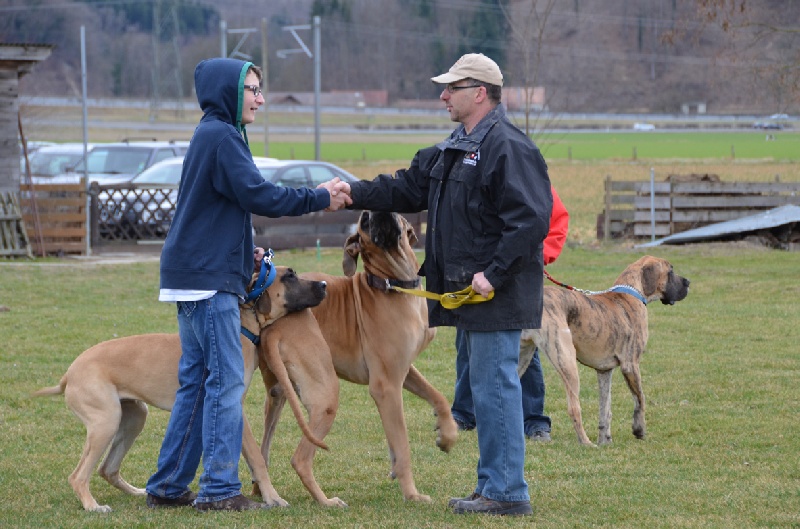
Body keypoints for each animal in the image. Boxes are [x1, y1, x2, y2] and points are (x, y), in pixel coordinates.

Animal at [31, 266, 324, 510]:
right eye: (289, 276)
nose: (322, 284)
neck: (241, 327)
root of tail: (69, 374)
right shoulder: (232, 408)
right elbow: (257, 459)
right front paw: (272, 498)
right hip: (106, 422)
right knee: (78, 475)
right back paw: (93, 506)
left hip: (133, 417)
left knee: (107, 469)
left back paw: (139, 492)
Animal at [298, 208, 460, 502]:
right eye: (364, 221)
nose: (377, 211)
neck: (394, 284)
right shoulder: (387, 386)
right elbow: (403, 444)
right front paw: (412, 493)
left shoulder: (404, 369)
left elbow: (438, 397)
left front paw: (447, 435)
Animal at [520, 256, 692, 446]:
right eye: (670, 271)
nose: (688, 282)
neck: (631, 292)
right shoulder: (631, 365)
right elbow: (640, 399)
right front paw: (639, 429)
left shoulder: (604, 371)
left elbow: (605, 409)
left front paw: (605, 439)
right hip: (566, 360)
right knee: (574, 408)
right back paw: (586, 443)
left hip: (522, 358)